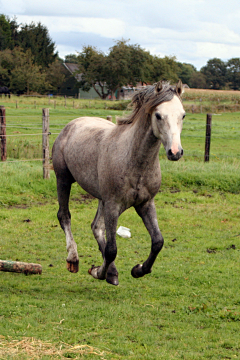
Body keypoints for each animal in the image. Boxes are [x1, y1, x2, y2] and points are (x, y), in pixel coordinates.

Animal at [51, 80, 185, 286]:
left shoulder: (145, 204)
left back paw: (112, 271)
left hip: (101, 198)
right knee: (64, 216)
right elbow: (112, 249)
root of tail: (72, 124)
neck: (134, 160)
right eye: (158, 115)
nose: (175, 152)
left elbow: (157, 241)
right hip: (63, 180)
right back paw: (73, 259)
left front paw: (138, 270)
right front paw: (98, 272)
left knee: (96, 227)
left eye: (183, 115)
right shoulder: (113, 205)